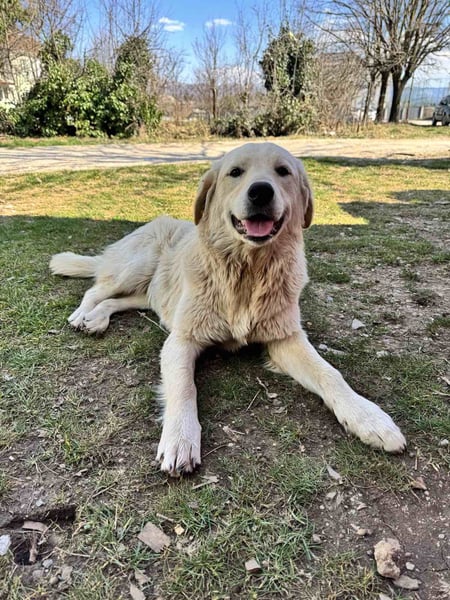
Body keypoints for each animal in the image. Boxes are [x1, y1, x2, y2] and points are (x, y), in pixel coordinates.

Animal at [50, 142, 406, 475]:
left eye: (283, 171)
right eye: (235, 172)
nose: (260, 191)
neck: (248, 270)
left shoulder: (285, 339)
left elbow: (330, 374)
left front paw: (369, 418)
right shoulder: (182, 340)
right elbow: (184, 387)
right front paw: (180, 439)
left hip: (150, 292)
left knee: (116, 299)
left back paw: (97, 318)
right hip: (139, 265)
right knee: (98, 287)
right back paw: (83, 314)